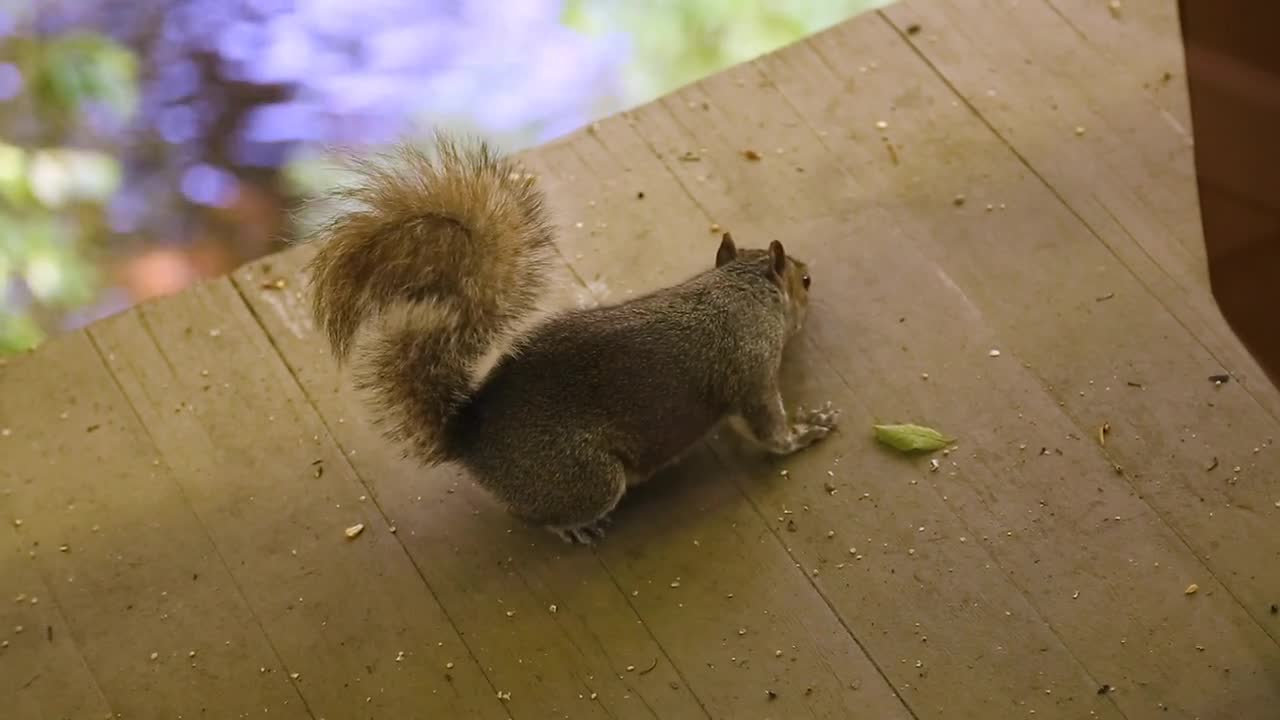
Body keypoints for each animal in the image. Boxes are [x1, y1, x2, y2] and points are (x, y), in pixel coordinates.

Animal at [303, 133, 834, 543]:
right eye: (806, 281)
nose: (812, 282)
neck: (739, 290)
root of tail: (470, 436)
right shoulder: (753, 372)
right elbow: (769, 428)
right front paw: (807, 431)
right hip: (587, 477)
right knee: (542, 514)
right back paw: (573, 528)